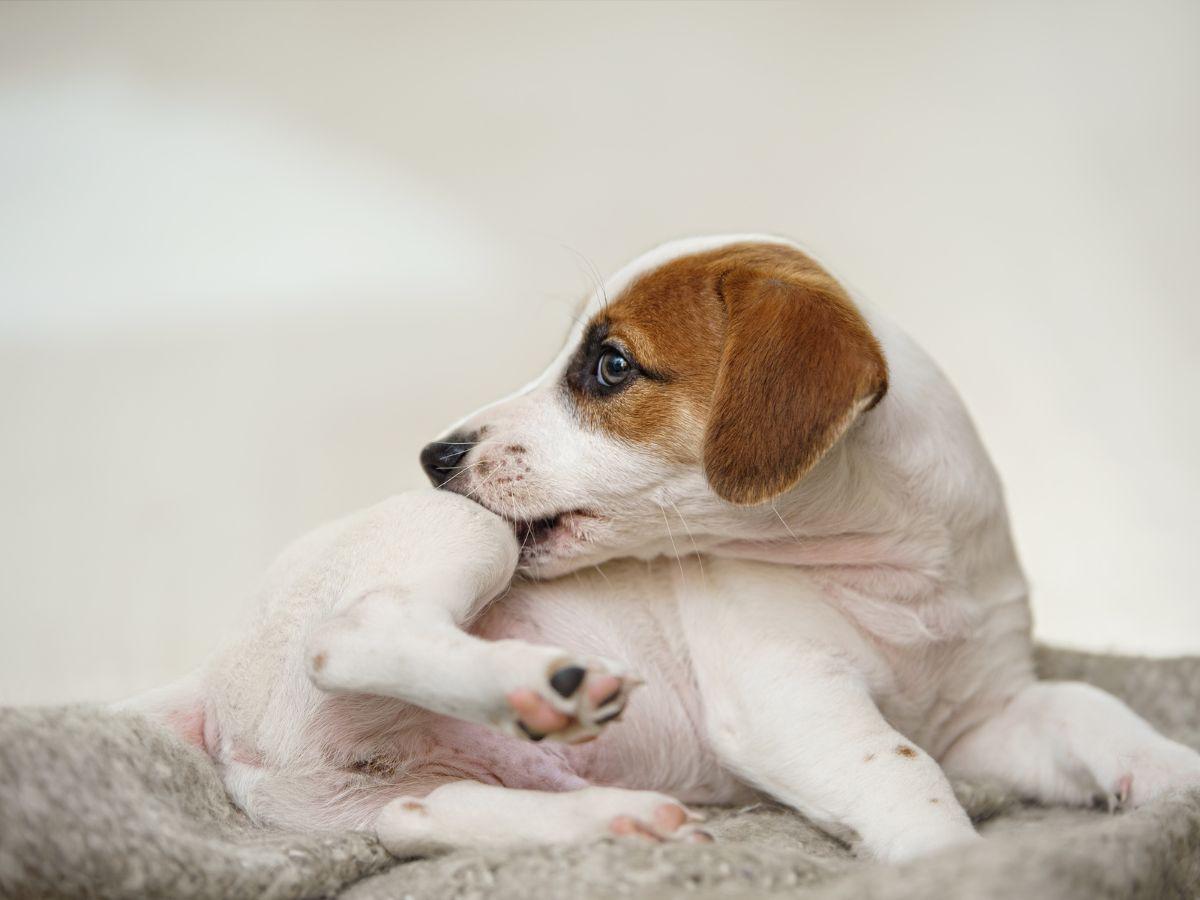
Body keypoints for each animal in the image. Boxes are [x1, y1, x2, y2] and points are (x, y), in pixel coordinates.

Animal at [131, 236, 1200, 864]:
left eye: (610, 366)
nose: (435, 457)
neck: (899, 573)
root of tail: (209, 681)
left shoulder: (988, 714)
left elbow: (1091, 707)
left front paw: (1170, 777)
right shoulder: (788, 697)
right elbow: (901, 771)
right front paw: (952, 864)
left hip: (372, 795)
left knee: (416, 820)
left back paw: (613, 819)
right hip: (460, 539)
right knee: (352, 634)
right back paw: (542, 686)